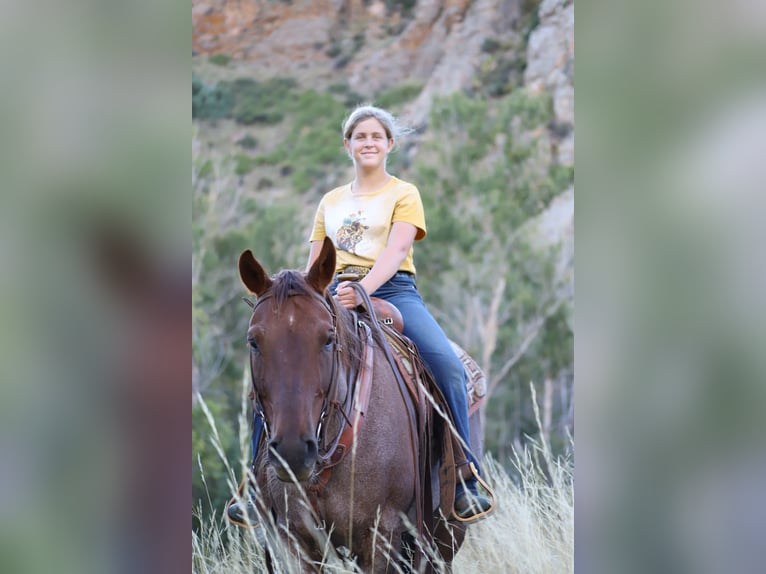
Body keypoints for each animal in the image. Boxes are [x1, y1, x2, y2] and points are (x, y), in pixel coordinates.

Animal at [238, 236, 486, 572]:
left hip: (444, 539)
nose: (293, 452)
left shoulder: (380, 537)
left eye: (328, 339)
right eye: (254, 342)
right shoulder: (293, 541)